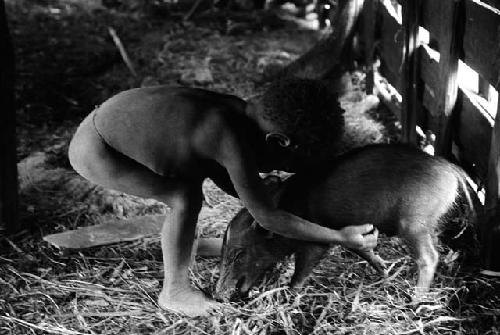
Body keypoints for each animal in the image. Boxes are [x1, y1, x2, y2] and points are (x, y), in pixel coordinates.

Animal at [216, 144, 476, 302]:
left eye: (238, 254)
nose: (217, 294)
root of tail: (452, 170)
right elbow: (364, 250)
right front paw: (384, 273)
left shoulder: (316, 244)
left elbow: (302, 270)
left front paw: (289, 295)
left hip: (414, 223)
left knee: (429, 257)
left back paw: (415, 299)